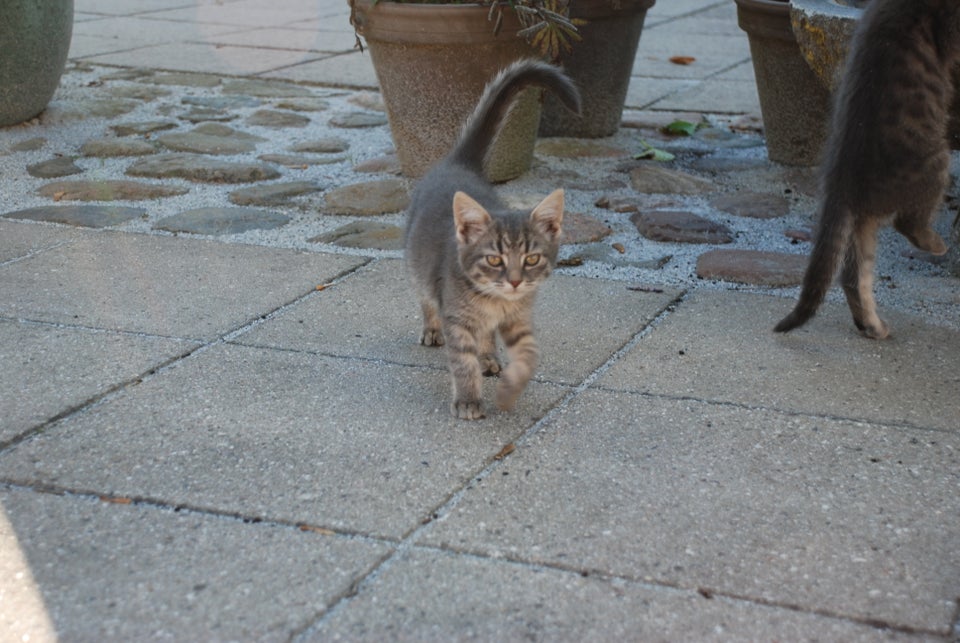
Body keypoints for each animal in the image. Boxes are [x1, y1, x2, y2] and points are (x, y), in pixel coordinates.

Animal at [404, 60, 576, 420]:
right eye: (494, 259)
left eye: (531, 259)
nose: (514, 281)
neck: (496, 302)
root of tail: (457, 165)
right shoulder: (457, 319)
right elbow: (462, 362)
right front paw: (469, 400)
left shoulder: (519, 319)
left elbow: (528, 354)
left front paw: (510, 390)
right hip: (418, 266)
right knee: (426, 297)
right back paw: (432, 330)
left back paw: (488, 357)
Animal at [776, 0, 956, 342]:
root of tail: (840, 183)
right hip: (936, 162)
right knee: (908, 222)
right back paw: (937, 244)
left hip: (861, 225)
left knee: (851, 276)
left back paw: (872, 326)